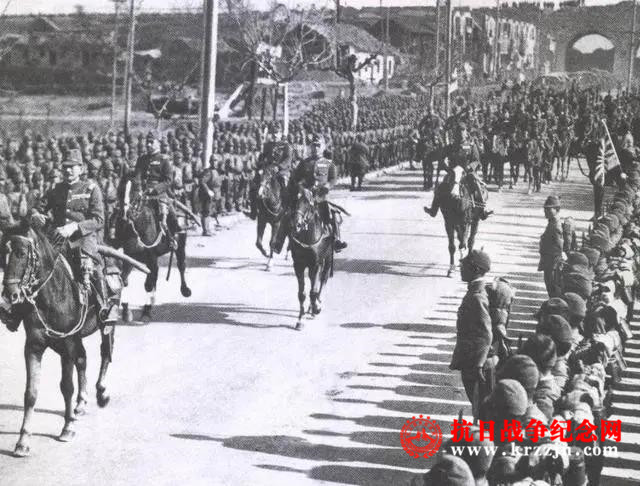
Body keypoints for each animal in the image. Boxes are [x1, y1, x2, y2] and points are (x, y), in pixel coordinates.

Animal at [2, 222, 114, 457]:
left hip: (107, 324)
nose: (9, 297)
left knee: (105, 353)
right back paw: (81, 403)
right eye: (3, 253)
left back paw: (101, 392)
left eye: (22, 253)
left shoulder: (68, 345)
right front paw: (23, 441)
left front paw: (67, 427)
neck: (52, 296)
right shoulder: (33, 347)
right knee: (83, 360)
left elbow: (66, 386)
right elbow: (31, 393)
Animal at [110, 193, 191, 321]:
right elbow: (124, 280)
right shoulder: (129, 257)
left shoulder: (151, 258)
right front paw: (126, 311)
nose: (112, 238)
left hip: (180, 245)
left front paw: (146, 312)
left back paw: (185, 290)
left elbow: (148, 285)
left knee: (181, 265)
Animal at [289, 188, 333, 330]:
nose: (296, 225)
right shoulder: (298, 265)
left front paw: (316, 308)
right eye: (295, 202)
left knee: (323, 279)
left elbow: (313, 290)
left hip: (327, 259)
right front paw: (300, 320)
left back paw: (317, 303)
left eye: (308, 204)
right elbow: (302, 293)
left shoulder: (316, 264)